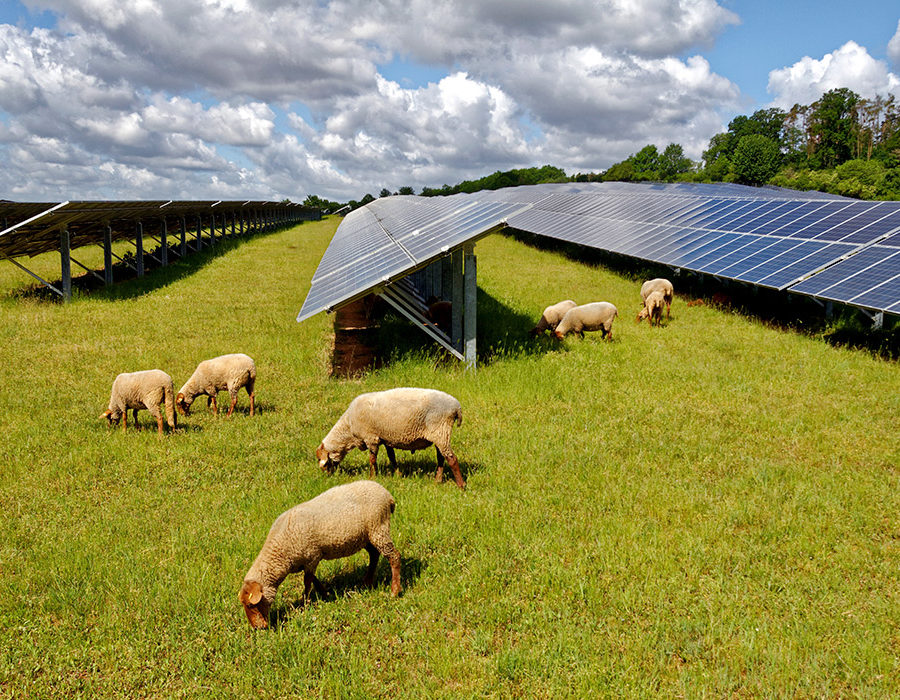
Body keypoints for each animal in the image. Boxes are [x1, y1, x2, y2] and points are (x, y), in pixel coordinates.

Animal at [237, 482, 400, 628]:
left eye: (251, 605)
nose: (258, 628)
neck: (281, 551)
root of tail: (387, 495)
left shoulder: (312, 556)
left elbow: (308, 581)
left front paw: (305, 602)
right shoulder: (307, 561)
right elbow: (314, 579)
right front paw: (325, 593)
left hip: (379, 527)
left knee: (394, 557)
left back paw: (395, 591)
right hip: (367, 535)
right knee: (374, 555)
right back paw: (367, 581)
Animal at [316, 388, 468, 492]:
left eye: (323, 461)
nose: (327, 477)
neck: (348, 428)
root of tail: (457, 407)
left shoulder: (371, 438)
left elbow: (372, 460)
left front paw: (372, 477)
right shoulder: (386, 439)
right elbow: (392, 457)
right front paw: (398, 474)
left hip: (441, 430)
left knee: (452, 459)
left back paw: (461, 485)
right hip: (439, 434)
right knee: (441, 458)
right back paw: (438, 480)